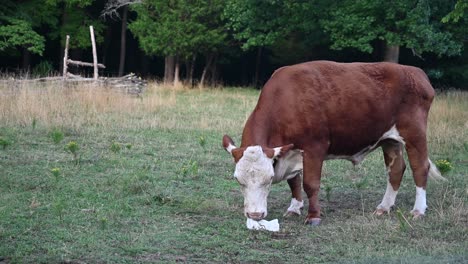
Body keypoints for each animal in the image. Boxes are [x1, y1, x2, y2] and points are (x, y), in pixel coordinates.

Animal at [222, 60, 442, 226]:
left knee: (419, 167)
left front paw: (313, 217)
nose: (255, 215)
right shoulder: (290, 151)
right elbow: (293, 181)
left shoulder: (315, 147)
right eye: (238, 180)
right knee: (396, 169)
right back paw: (384, 207)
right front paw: (294, 208)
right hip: (390, 140)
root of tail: (415, 71)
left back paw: (418, 210)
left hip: (414, 133)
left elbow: (310, 184)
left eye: (268, 180)